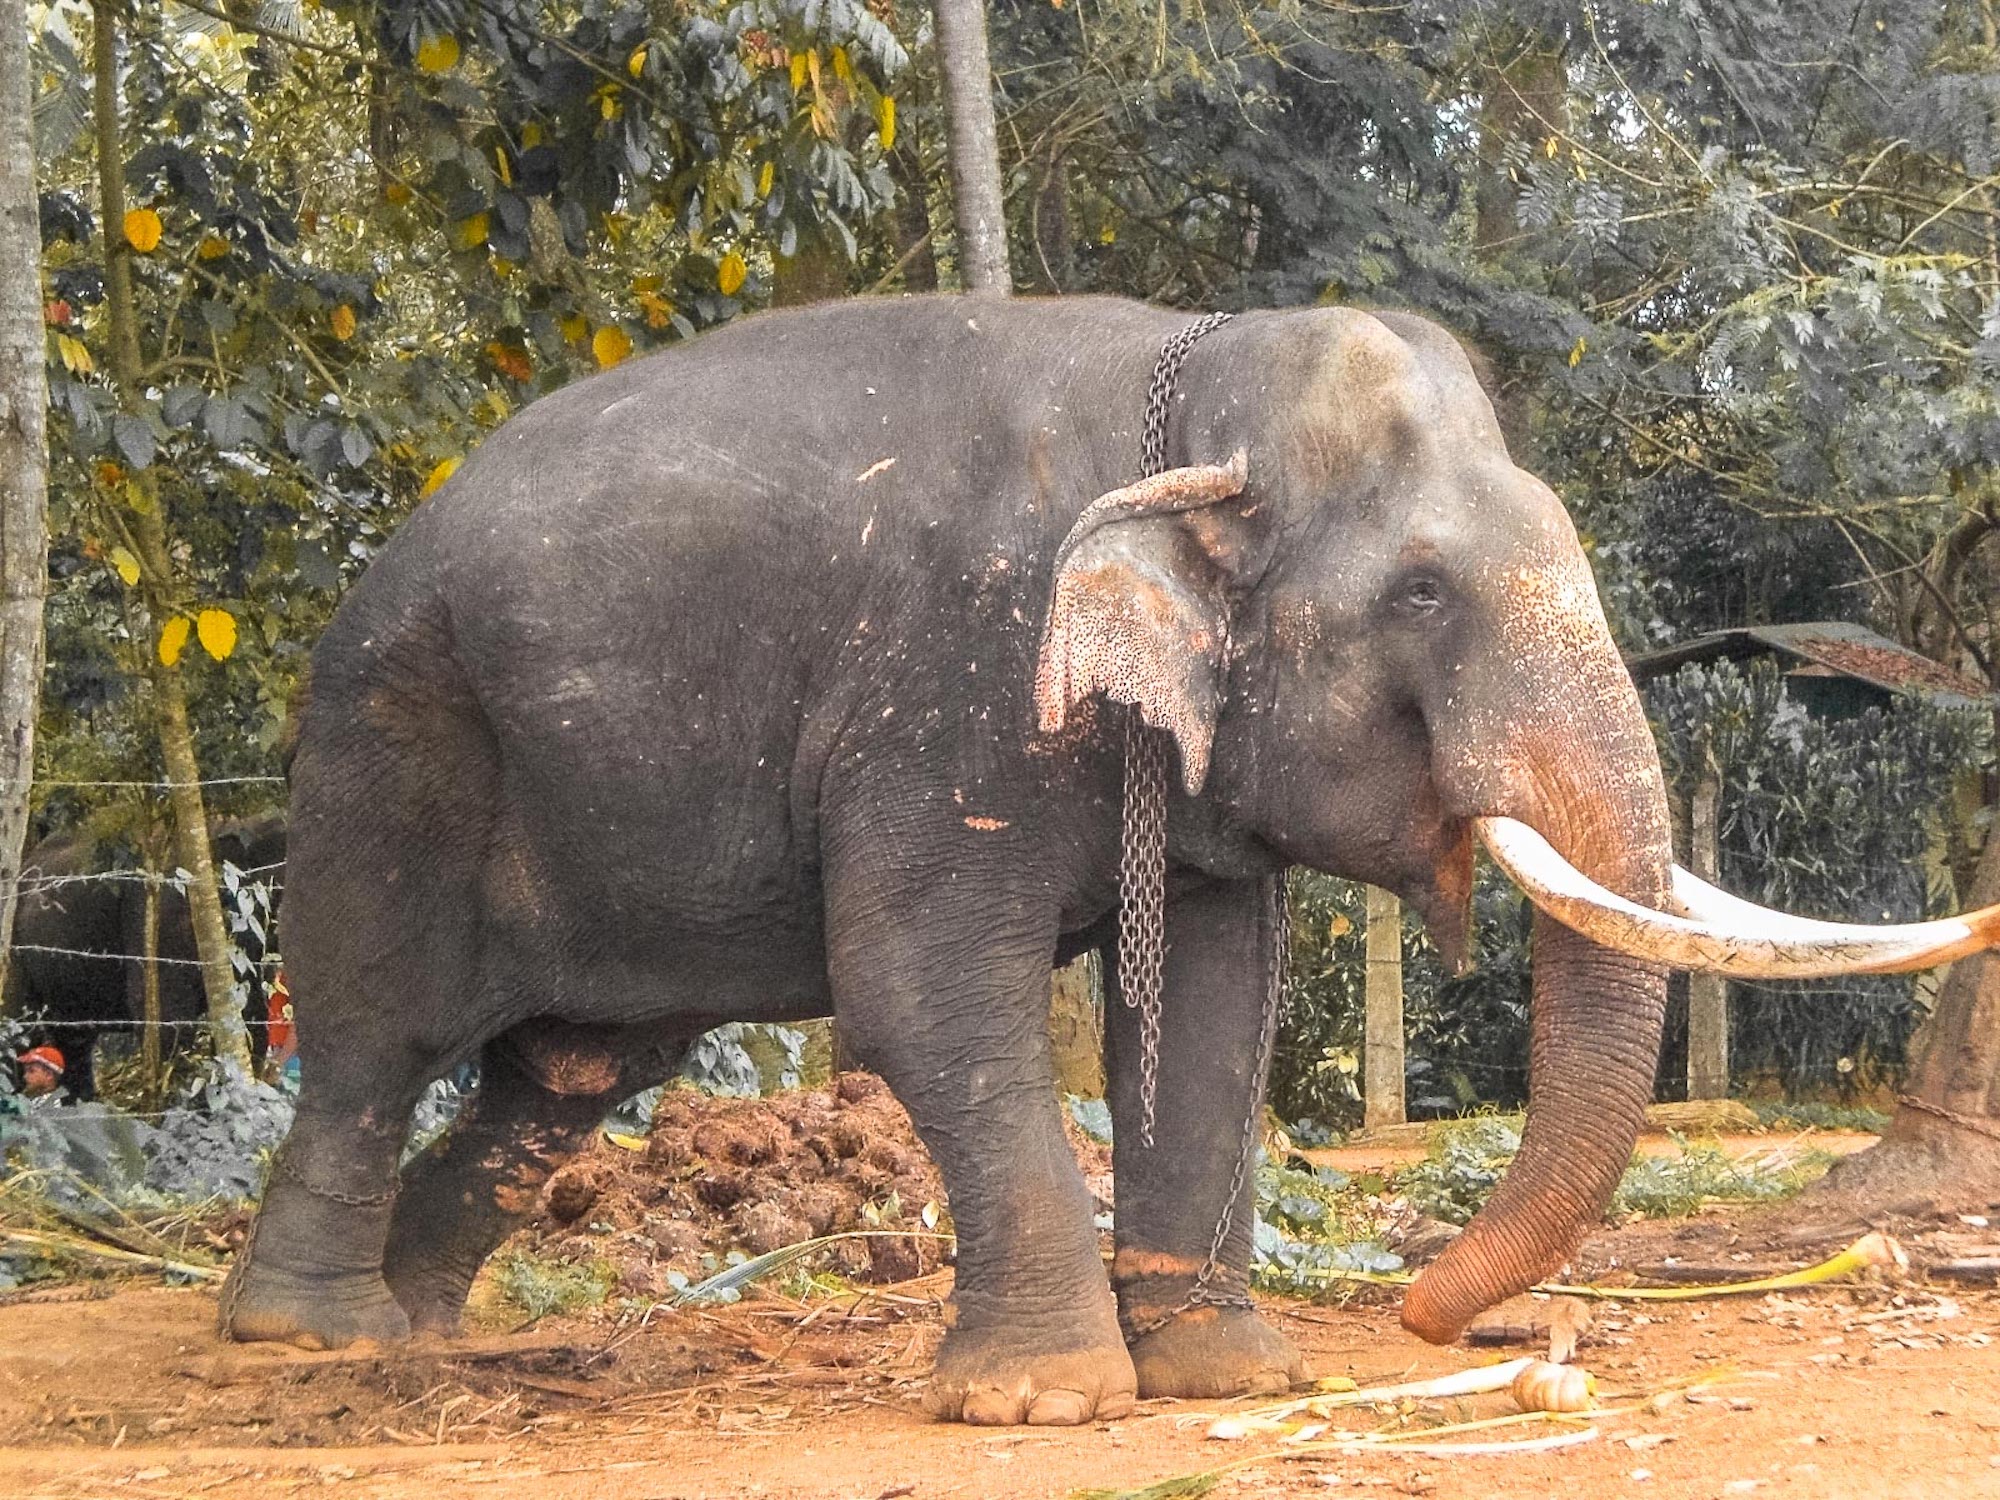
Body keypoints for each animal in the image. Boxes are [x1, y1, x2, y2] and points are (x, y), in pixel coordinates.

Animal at [222, 294, 1997, 1422]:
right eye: (1422, 594)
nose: (1442, 1315)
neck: (1186, 378)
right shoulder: (948, 686)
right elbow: (921, 993)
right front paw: (1045, 1406)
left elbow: (1212, 1008)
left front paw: (1229, 1379)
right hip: (393, 741)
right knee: (376, 1038)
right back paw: (309, 1343)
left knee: (566, 1078)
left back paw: (422, 1334)